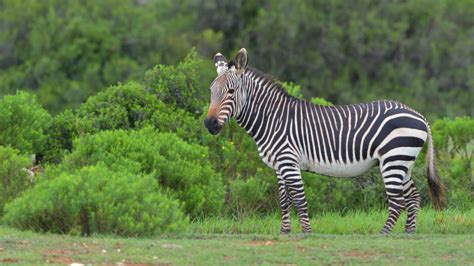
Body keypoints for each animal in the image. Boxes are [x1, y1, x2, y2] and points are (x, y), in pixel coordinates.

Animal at [204, 48, 444, 234]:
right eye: (211, 91)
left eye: (231, 91)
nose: (209, 124)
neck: (273, 119)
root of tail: (420, 116)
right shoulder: (279, 166)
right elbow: (284, 201)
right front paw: (284, 232)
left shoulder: (289, 162)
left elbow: (299, 199)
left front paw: (307, 233)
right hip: (403, 162)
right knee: (413, 197)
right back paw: (408, 233)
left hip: (394, 159)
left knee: (398, 201)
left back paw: (384, 234)